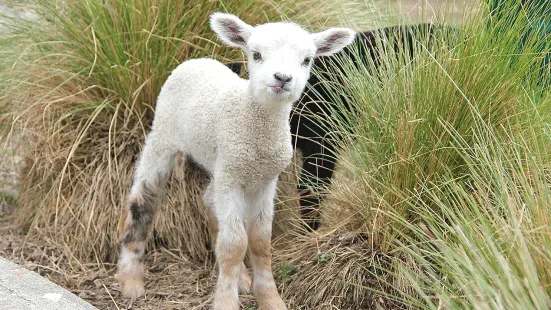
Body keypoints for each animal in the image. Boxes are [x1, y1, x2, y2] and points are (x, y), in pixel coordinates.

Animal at [117, 12, 358, 310]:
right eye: (256, 54)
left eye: (307, 59)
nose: (282, 78)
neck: (253, 124)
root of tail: (198, 60)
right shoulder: (232, 177)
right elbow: (233, 245)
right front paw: (226, 301)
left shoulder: (264, 180)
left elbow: (259, 241)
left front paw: (270, 298)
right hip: (164, 135)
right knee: (142, 201)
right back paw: (131, 280)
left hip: (221, 163)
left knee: (209, 201)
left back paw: (240, 277)